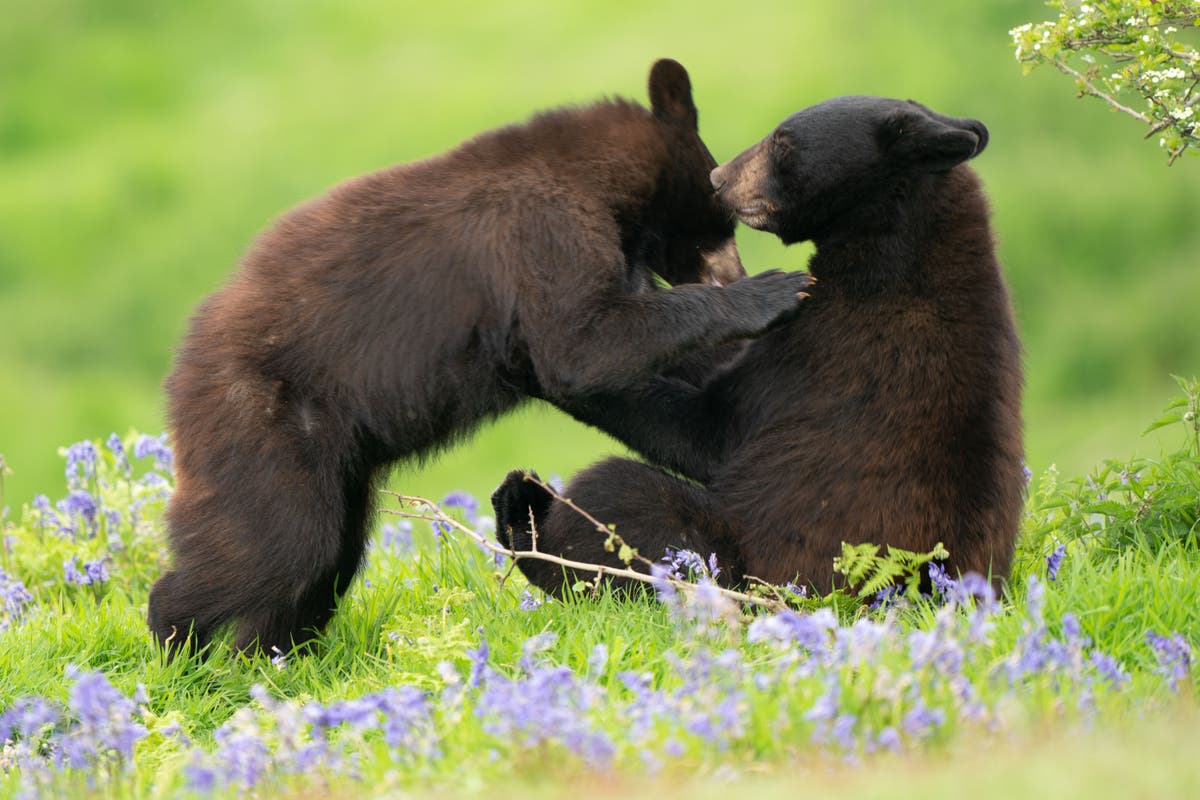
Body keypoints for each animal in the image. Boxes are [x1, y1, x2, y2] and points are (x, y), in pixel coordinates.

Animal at [147, 59, 813, 656]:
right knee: (278, 544)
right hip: (263, 420)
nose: (737, 273)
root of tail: (182, 365)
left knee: (327, 556)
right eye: (722, 217)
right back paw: (176, 646)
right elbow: (585, 343)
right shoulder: (544, 233)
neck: (592, 179)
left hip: (334, 463)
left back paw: (274, 657)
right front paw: (772, 294)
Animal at [492, 95, 1025, 598]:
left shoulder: (830, 341)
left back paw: (524, 516)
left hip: (748, 556)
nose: (718, 178)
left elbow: (710, 430)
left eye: (784, 143)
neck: (894, 243)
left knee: (625, 500)